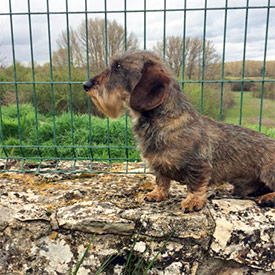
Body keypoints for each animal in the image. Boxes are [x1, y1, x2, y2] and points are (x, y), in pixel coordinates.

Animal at [84, 50, 275, 213]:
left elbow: (196, 185)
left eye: (118, 66)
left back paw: (268, 197)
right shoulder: (158, 166)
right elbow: (161, 180)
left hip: (269, 173)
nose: (86, 85)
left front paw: (193, 201)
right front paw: (157, 194)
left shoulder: (198, 165)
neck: (163, 122)